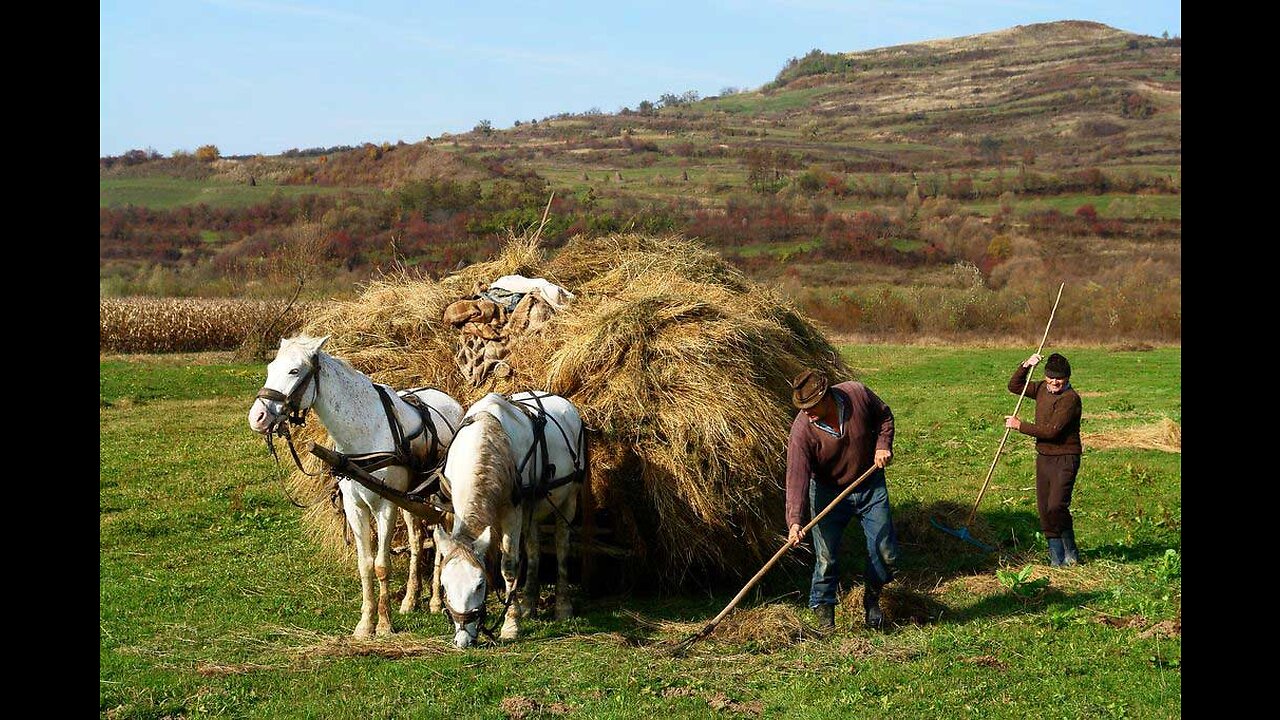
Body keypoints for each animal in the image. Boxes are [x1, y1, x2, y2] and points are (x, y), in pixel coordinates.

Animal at [245, 333, 465, 635]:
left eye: (294, 371)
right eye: (270, 368)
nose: (257, 418)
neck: (365, 431)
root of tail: (451, 402)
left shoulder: (385, 505)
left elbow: (381, 565)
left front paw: (383, 624)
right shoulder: (355, 506)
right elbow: (365, 564)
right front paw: (365, 623)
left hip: (436, 495)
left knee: (441, 537)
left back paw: (434, 600)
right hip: (410, 497)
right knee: (418, 539)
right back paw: (411, 598)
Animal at [435, 389, 586, 648]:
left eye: (480, 584)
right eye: (445, 584)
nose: (463, 639)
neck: (489, 439)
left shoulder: (512, 511)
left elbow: (509, 566)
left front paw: (511, 624)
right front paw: (519, 611)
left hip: (569, 500)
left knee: (562, 546)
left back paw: (563, 606)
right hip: (533, 506)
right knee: (533, 549)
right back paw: (528, 605)